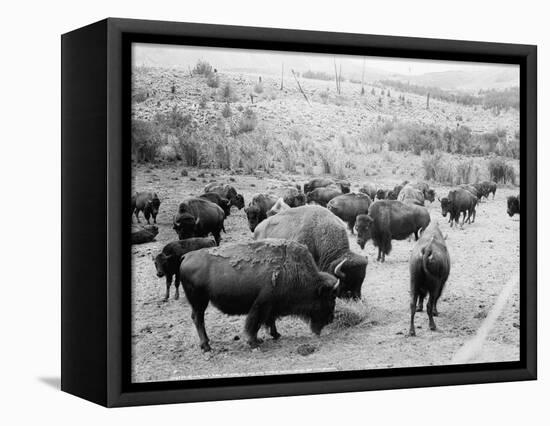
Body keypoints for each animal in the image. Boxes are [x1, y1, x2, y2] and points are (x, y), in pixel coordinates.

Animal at [179, 238, 340, 352]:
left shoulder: (271, 305)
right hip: (199, 301)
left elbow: (270, 320)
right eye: (331, 298)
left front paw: (275, 335)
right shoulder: (262, 305)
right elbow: (255, 324)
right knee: (198, 319)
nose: (331, 319)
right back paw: (206, 346)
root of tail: (186, 256)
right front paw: (254, 343)